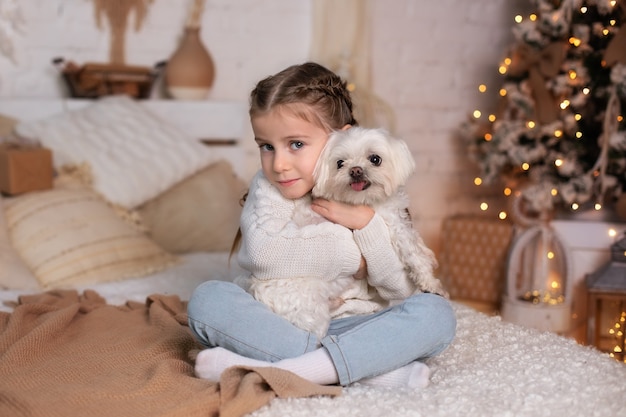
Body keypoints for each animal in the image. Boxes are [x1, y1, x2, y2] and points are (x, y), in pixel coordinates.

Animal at [246, 126, 446, 338]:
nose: (355, 170)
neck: (363, 201)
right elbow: (414, 256)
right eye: (340, 163)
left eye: (375, 159)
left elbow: (417, 242)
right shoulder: (393, 226)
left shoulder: (399, 218)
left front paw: (430, 255)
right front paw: (431, 283)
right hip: (310, 314)